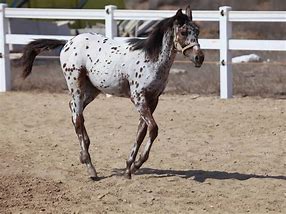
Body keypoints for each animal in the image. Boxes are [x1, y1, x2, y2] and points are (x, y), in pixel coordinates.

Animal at [21, 6, 204, 179]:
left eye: (197, 31)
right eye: (183, 32)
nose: (199, 58)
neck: (151, 60)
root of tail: (68, 42)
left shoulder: (153, 100)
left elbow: (141, 132)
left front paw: (129, 167)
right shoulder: (138, 98)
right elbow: (153, 129)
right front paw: (137, 164)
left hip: (91, 91)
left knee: (73, 110)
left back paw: (84, 150)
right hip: (76, 86)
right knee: (78, 118)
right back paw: (90, 166)